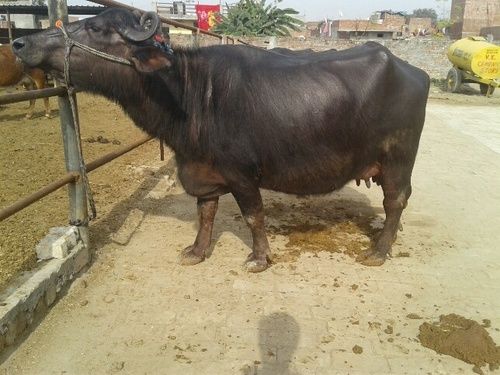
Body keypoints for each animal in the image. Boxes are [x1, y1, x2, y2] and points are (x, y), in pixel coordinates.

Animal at [13, 8, 432, 274]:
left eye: (96, 29)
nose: (19, 45)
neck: (189, 95)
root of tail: (415, 72)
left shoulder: (242, 174)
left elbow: (253, 215)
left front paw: (259, 259)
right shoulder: (202, 170)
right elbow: (206, 213)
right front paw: (197, 252)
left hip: (398, 159)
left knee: (395, 202)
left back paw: (379, 251)